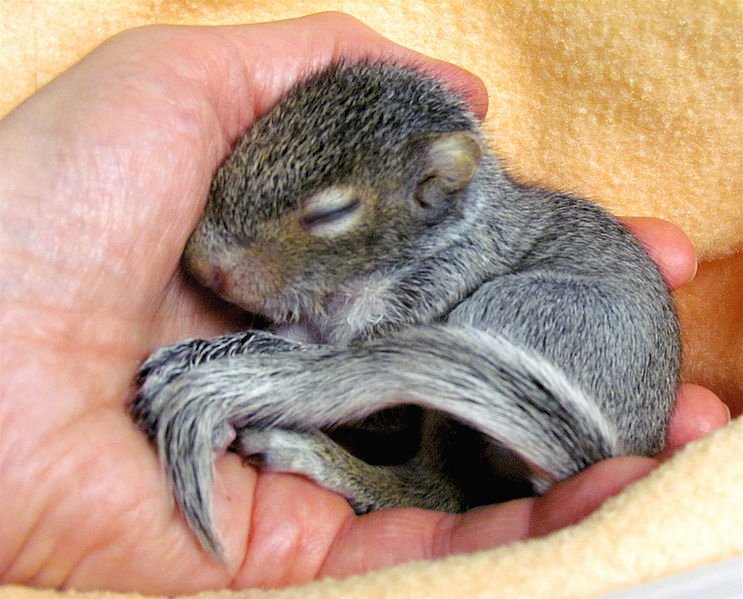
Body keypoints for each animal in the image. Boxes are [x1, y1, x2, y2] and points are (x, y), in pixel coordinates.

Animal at [128, 59, 680, 556]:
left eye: (332, 213)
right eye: (241, 147)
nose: (201, 264)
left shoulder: (435, 294)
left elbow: (349, 384)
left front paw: (205, 365)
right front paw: (201, 351)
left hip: (509, 315)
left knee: (440, 491)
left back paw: (318, 458)